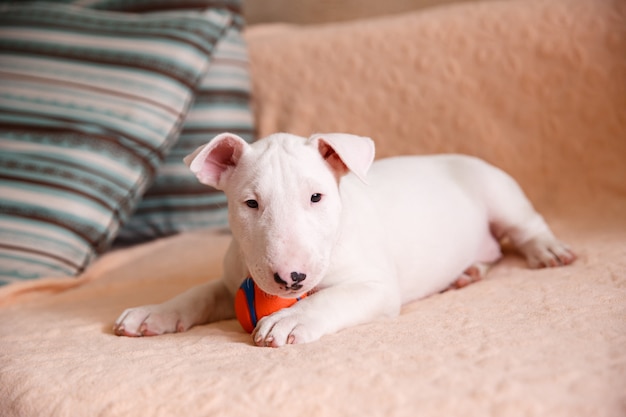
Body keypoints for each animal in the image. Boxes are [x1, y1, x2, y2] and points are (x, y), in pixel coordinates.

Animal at [113, 132, 576, 344]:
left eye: (316, 197)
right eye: (250, 204)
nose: (291, 279)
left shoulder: (376, 287)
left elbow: (331, 298)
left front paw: (289, 320)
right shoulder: (233, 278)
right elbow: (201, 292)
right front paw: (153, 313)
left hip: (501, 195)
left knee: (527, 227)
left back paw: (547, 249)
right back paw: (468, 272)